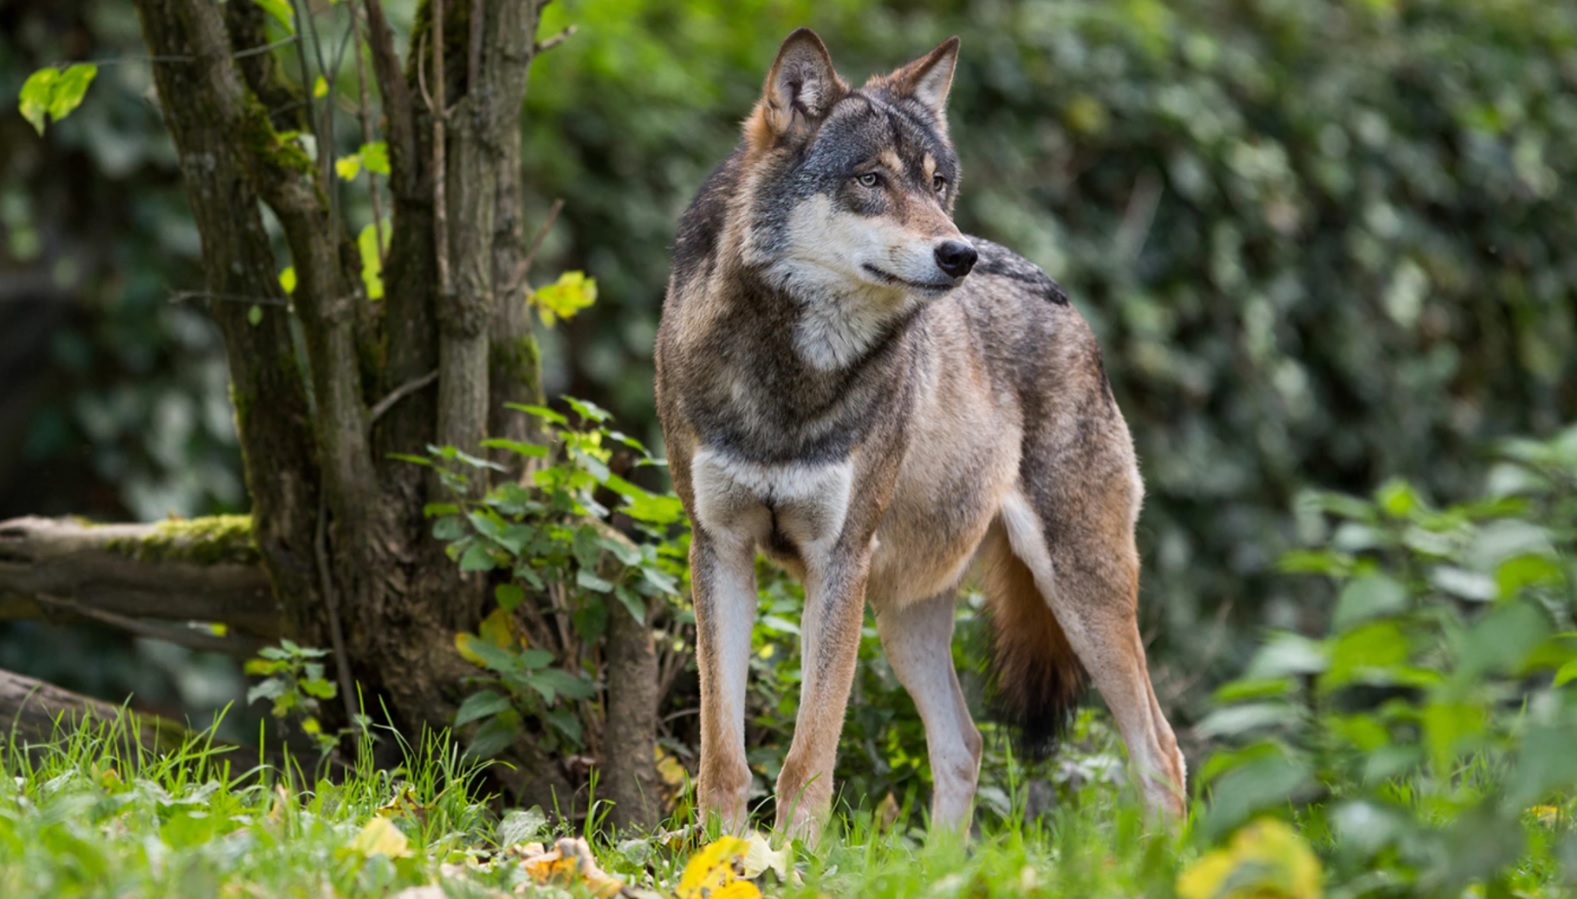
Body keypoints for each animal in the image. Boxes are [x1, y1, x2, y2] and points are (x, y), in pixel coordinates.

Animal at [649, 29, 1185, 839]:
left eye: (936, 183)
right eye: (870, 179)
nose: (957, 254)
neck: (788, 375)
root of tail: (1062, 299)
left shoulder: (838, 561)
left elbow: (808, 759)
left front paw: (790, 858)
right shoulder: (720, 550)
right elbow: (722, 758)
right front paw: (721, 855)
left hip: (1078, 587)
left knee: (1161, 749)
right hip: (905, 606)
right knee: (963, 744)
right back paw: (939, 861)